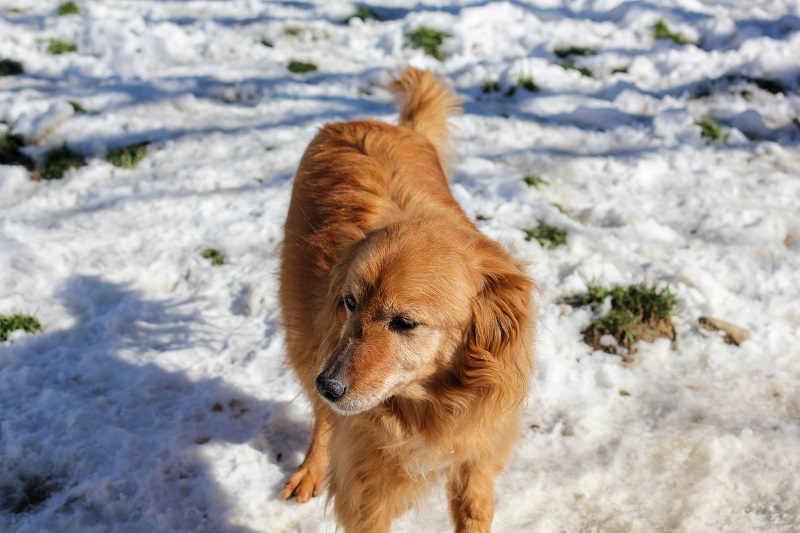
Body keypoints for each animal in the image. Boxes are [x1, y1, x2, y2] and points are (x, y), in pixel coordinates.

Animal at [278, 66, 534, 533]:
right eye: (350, 303)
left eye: (405, 322)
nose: (330, 386)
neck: (430, 406)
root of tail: (372, 124)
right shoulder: (366, 492)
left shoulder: (477, 456)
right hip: (304, 335)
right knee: (322, 418)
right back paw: (310, 468)